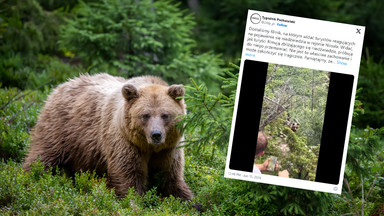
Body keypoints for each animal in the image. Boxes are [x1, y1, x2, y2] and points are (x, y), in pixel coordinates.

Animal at [22, 73, 194, 201]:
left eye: (165, 115)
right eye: (145, 115)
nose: (156, 134)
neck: (148, 147)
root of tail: (60, 85)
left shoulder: (169, 149)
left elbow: (171, 177)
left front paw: (189, 201)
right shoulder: (124, 142)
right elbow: (128, 174)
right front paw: (133, 201)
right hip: (61, 130)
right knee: (43, 156)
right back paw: (29, 178)